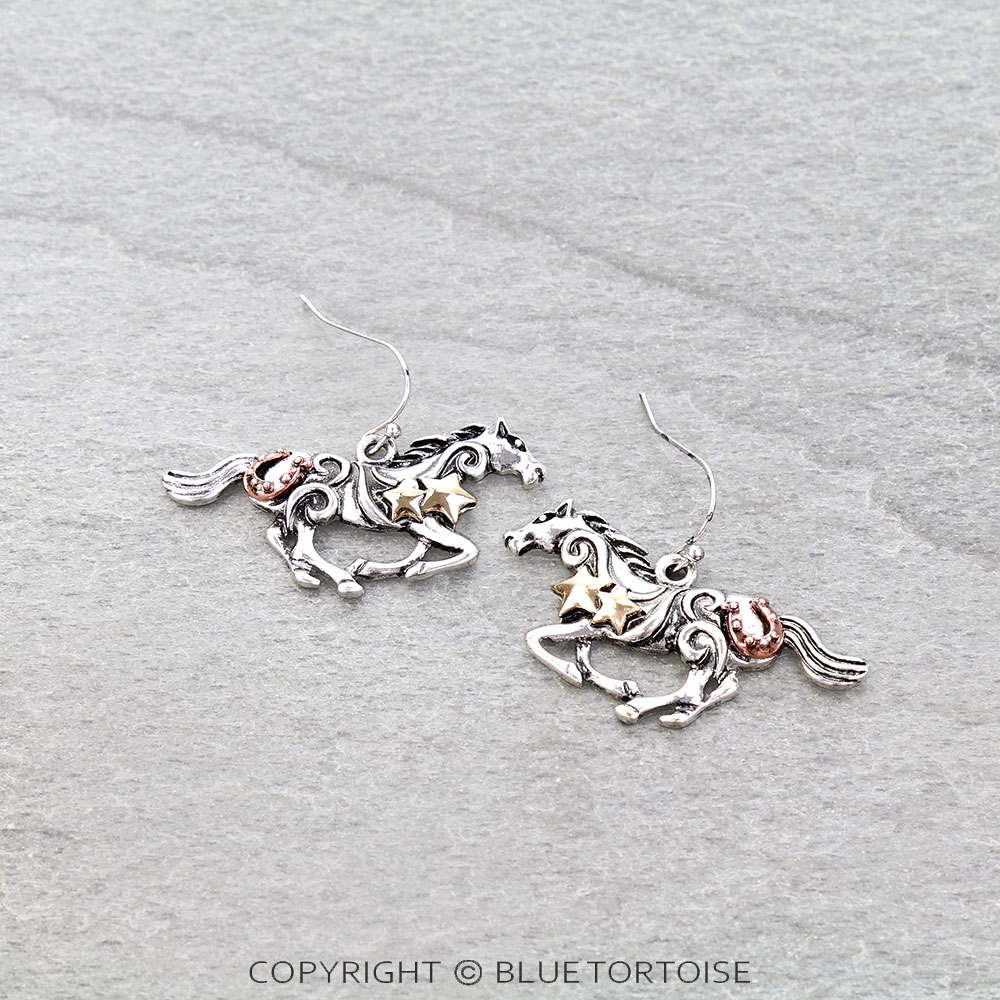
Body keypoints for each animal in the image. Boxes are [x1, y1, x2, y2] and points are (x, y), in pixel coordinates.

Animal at [163, 420, 543, 597]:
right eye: (518, 445)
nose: (538, 473)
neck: (433, 473)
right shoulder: (423, 523)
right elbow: (469, 551)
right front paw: (409, 573)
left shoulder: (424, 527)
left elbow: (420, 553)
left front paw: (373, 567)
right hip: (313, 509)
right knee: (300, 546)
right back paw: (343, 582)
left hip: (298, 514)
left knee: (278, 537)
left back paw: (306, 574)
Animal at [504, 499, 867, 728]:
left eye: (542, 519)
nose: (510, 538)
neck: (609, 578)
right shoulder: (590, 629)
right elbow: (582, 658)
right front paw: (622, 686)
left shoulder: (596, 627)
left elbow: (537, 638)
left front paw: (575, 675)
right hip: (722, 659)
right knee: (724, 688)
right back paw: (665, 713)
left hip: (702, 648)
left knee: (696, 691)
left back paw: (640, 711)